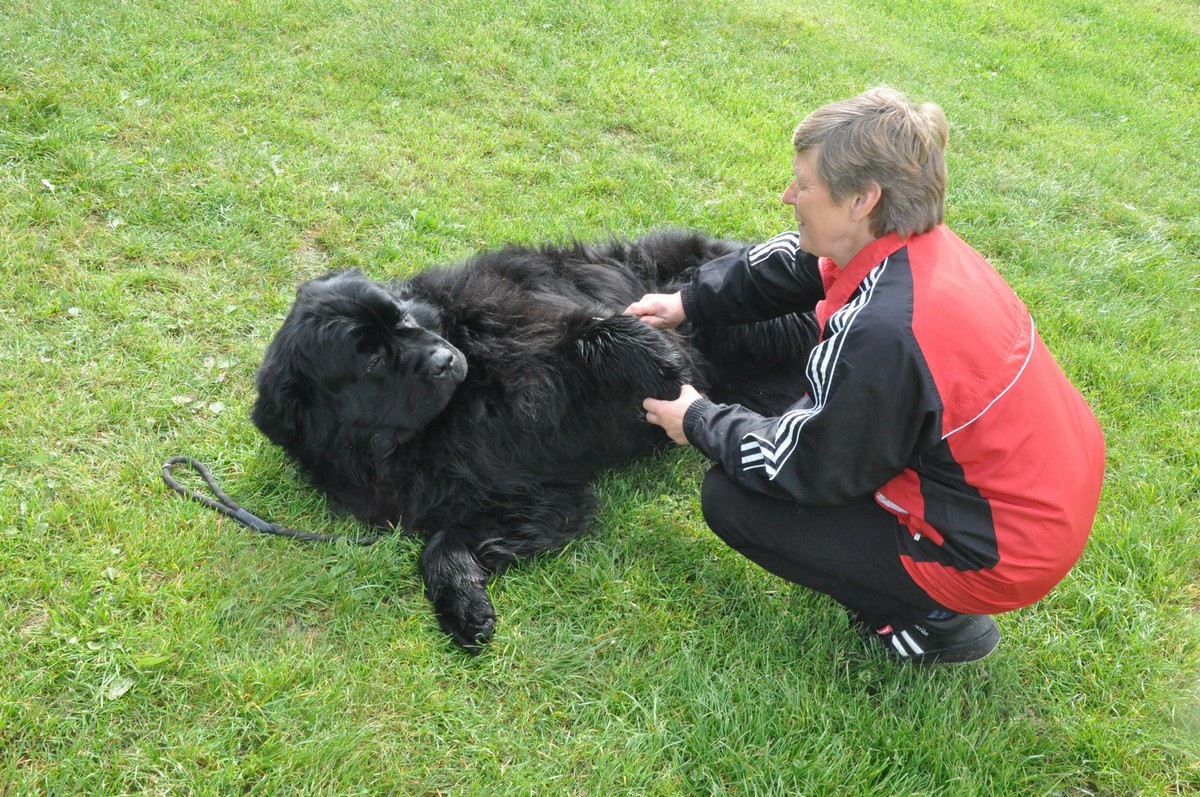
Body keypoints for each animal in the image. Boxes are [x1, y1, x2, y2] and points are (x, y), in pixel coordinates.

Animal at [252, 230, 814, 650]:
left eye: (403, 319)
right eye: (369, 358)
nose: (443, 360)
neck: (457, 410)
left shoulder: (537, 337)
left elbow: (595, 331)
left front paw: (657, 355)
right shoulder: (529, 494)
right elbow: (442, 541)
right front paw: (463, 604)